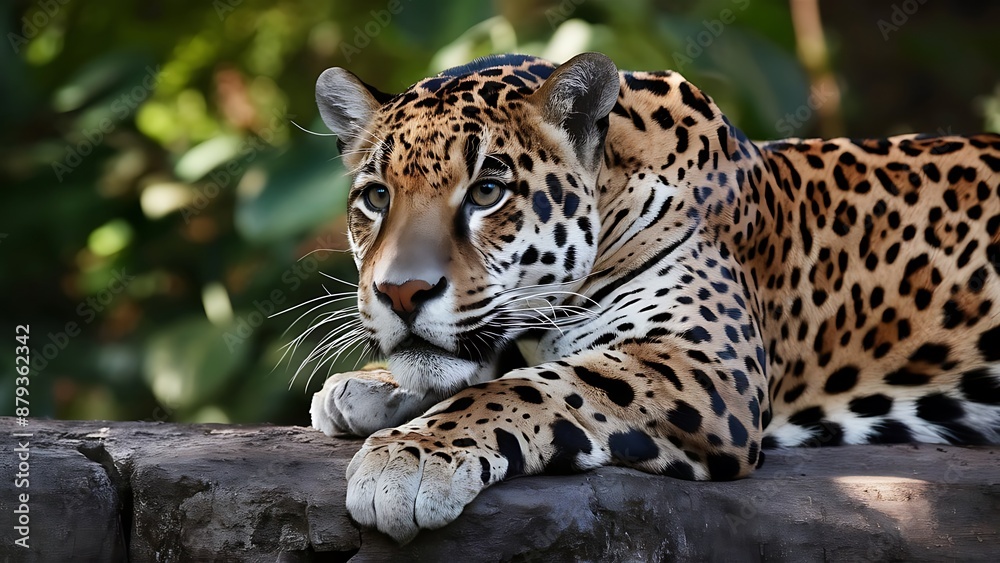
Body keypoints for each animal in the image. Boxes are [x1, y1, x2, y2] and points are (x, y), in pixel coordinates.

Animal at [306, 52, 1000, 543]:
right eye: (377, 197)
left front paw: (409, 457)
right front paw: (370, 388)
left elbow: (529, 385)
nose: (401, 292)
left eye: (486, 192)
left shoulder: (706, 365)